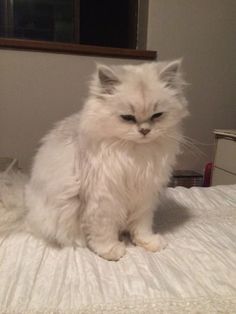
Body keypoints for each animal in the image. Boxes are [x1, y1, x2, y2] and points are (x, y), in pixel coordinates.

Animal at [24, 59, 188, 260]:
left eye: (157, 115)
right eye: (128, 117)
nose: (144, 131)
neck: (135, 156)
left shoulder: (145, 195)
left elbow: (142, 227)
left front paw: (148, 243)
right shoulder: (103, 198)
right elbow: (103, 230)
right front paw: (111, 250)